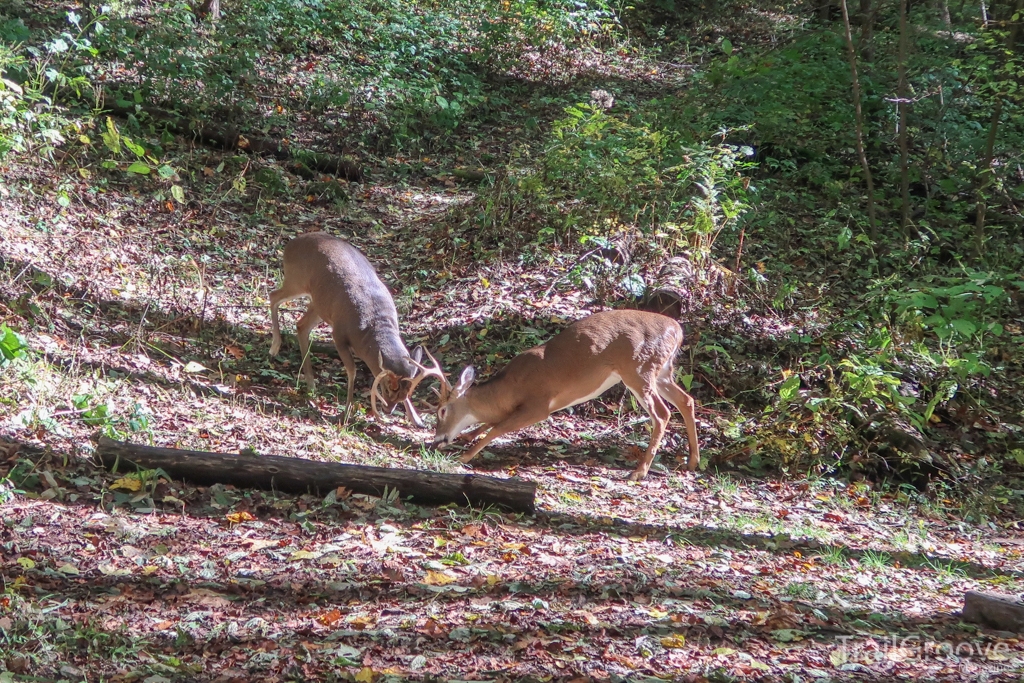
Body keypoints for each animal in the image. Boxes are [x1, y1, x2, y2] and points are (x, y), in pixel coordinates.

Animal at [268, 235, 428, 428]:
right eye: (387, 387)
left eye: (407, 393)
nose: (389, 410)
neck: (371, 326)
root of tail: (289, 245)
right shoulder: (339, 334)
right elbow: (352, 370)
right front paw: (345, 413)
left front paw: (417, 419)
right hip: (297, 280)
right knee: (273, 296)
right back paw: (274, 347)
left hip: (319, 303)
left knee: (301, 325)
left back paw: (311, 384)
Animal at [411, 309, 700, 481]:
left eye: (442, 410)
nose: (436, 441)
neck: (507, 391)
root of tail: (677, 329)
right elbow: (492, 422)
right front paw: (467, 437)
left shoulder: (539, 406)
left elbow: (497, 427)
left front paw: (465, 456)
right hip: (662, 371)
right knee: (686, 400)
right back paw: (692, 461)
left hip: (638, 369)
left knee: (662, 414)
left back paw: (639, 471)